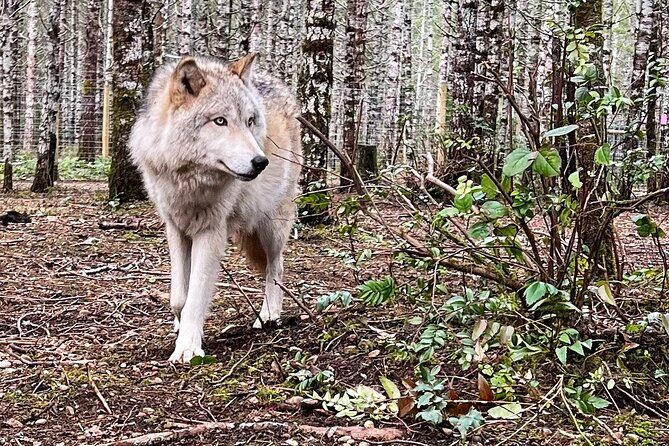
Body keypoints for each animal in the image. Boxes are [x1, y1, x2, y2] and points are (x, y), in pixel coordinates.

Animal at [129, 54, 302, 363]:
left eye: (249, 121)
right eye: (220, 121)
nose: (261, 162)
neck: (190, 181)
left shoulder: (211, 232)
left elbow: (196, 296)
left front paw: (187, 348)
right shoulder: (175, 227)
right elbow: (179, 297)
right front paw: (179, 326)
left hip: (271, 225)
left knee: (276, 267)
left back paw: (269, 315)